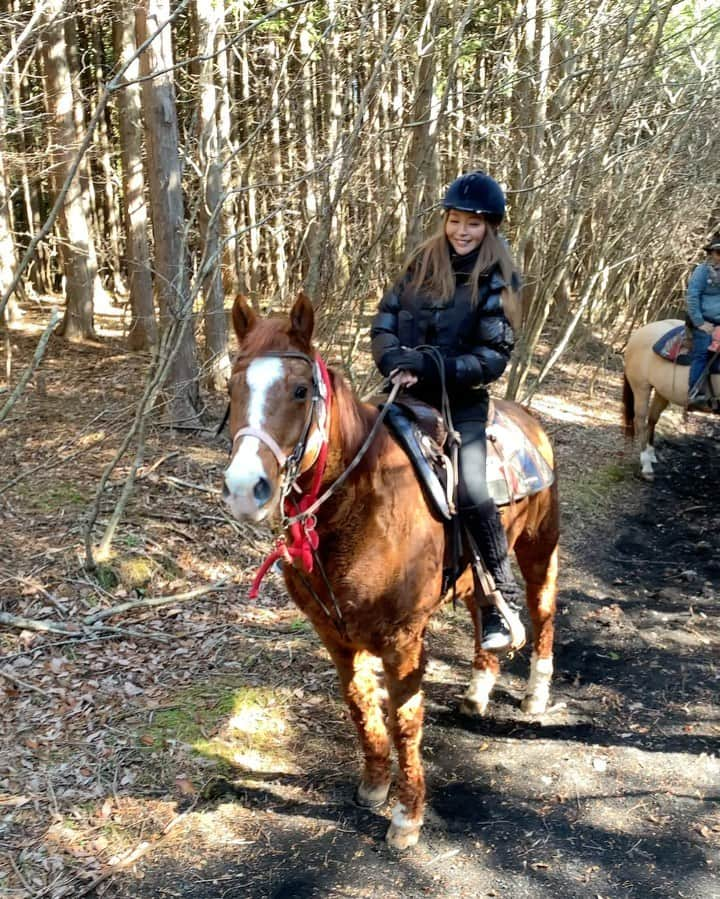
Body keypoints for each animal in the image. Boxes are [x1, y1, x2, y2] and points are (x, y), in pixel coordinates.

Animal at [222, 292, 560, 848]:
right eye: (233, 386)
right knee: (481, 612)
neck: (360, 504)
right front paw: (375, 785)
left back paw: (536, 692)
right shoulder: (335, 635)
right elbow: (361, 703)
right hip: (473, 577)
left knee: (543, 607)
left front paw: (407, 816)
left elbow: (405, 719)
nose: (244, 489)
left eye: (299, 390)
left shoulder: (403, 641)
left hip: (540, 546)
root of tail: (527, 418)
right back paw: (478, 689)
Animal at [620, 320, 716, 482]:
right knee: (640, 420)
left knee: (652, 419)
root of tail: (640, 332)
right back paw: (646, 466)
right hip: (641, 387)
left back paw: (651, 454)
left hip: (662, 391)